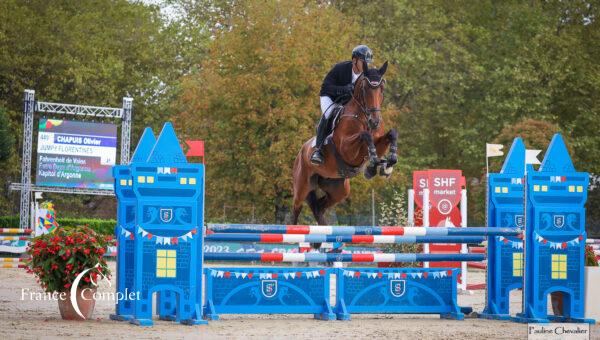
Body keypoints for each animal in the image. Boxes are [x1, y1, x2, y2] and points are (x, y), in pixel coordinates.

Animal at [292, 61, 396, 226]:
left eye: (382, 88)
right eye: (365, 88)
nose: (375, 122)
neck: (364, 117)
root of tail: (301, 151)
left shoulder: (379, 142)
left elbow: (391, 134)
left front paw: (387, 164)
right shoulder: (347, 149)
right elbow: (365, 136)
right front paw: (373, 165)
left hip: (339, 189)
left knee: (319, 208)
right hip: (302, 185)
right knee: (296, 208)